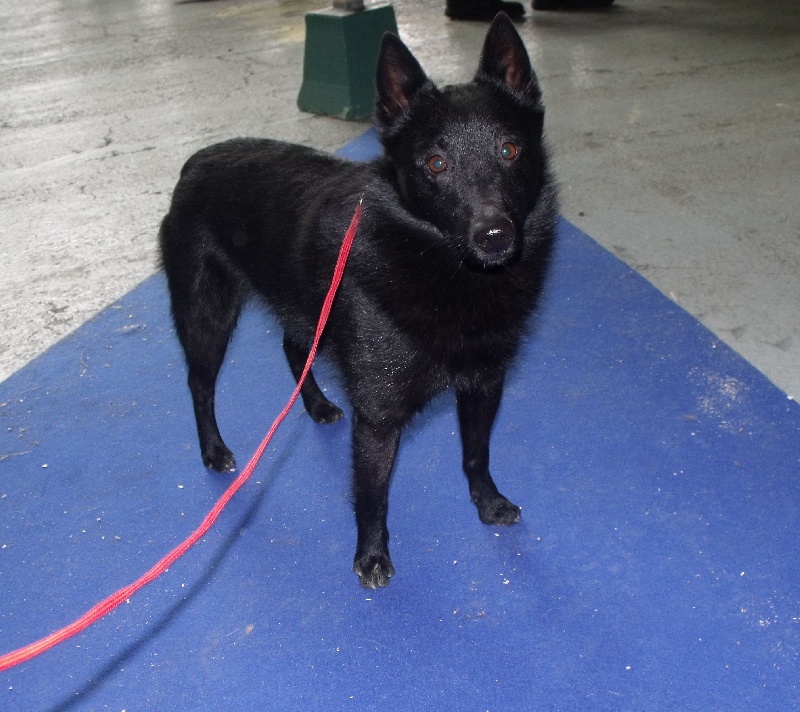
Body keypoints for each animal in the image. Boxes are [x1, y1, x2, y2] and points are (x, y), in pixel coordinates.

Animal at [159, 13, 558, 589]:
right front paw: (371, 556)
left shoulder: (485, 382)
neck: (443, 269)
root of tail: (193, 163)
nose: (494, 236)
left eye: (510, 150)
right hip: (206, 314)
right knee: (200, 384)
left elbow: (476, 454)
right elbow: (373, 494)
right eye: (436, 163)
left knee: (292, 347)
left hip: (308, 306)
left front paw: (487, 503)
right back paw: (214, 451)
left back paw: (318, 405)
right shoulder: (378, 414)